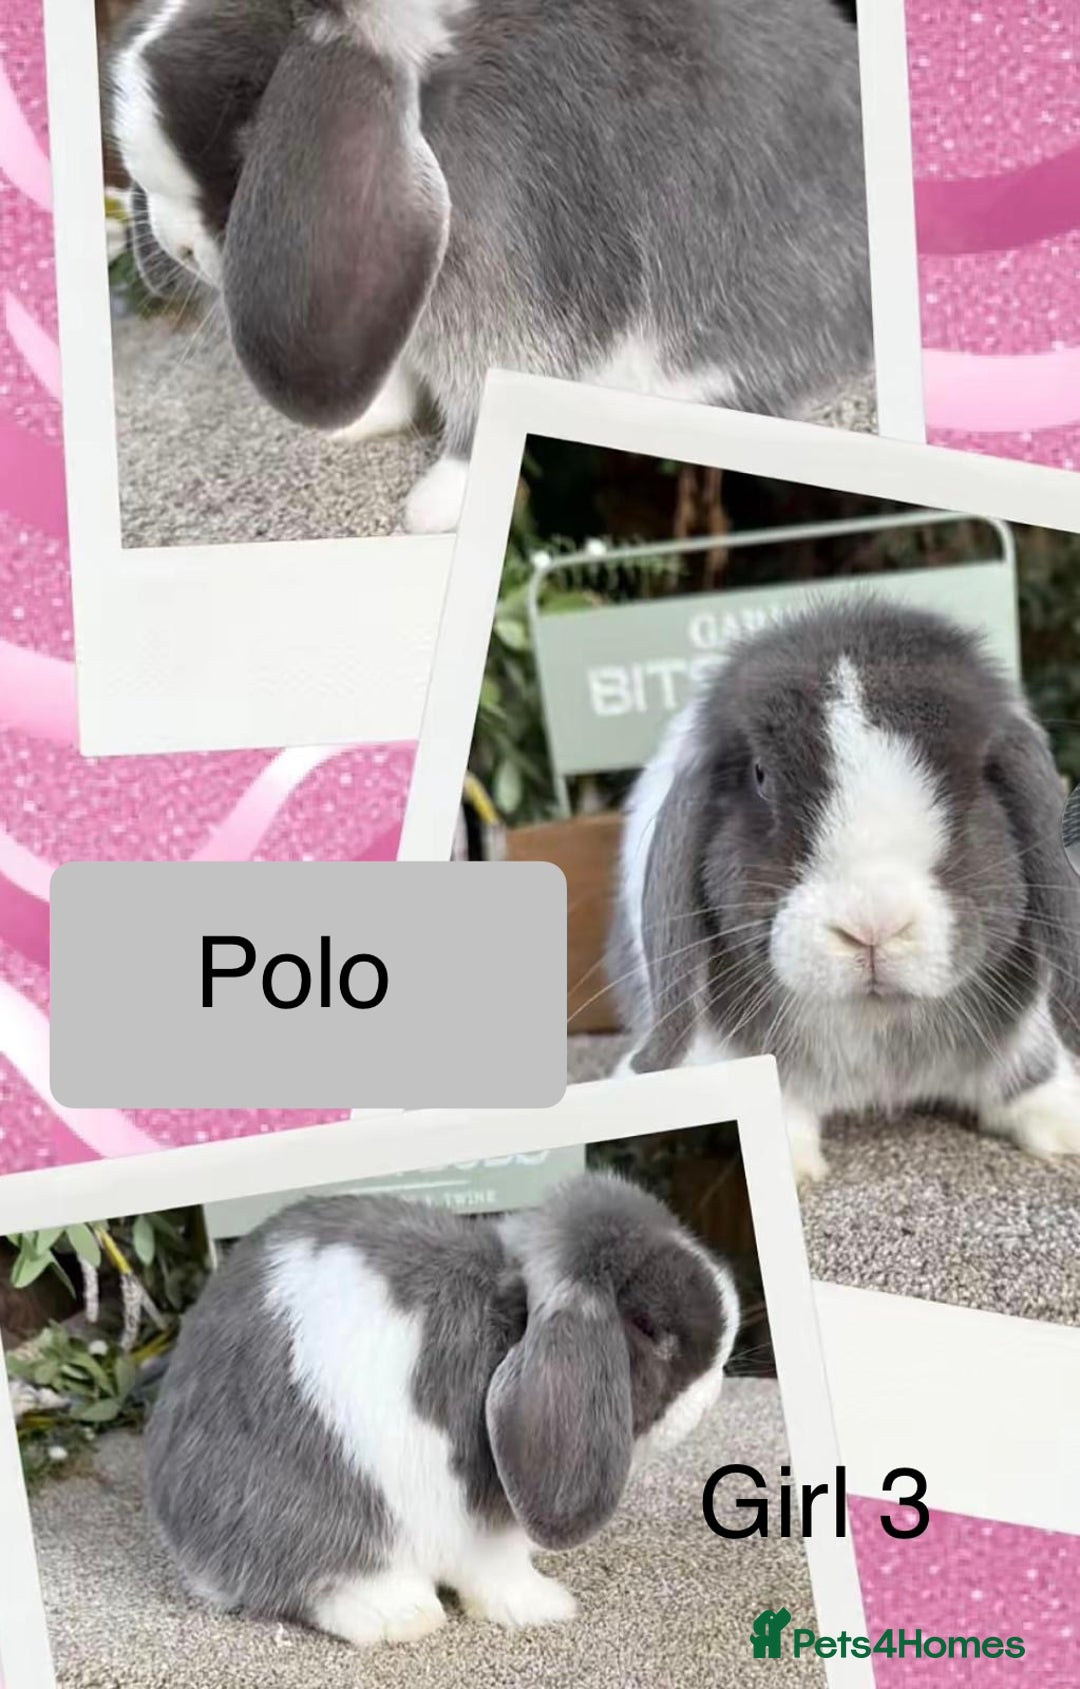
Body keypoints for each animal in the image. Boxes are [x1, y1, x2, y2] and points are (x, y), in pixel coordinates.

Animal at [109, 0, 872, 534]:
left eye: (248, 124)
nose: (174, 245)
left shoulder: (511, 298)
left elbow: (486, 402)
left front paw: (437, 505)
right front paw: (360, 424)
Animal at [144, 1173, 739, 1646]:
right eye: (648, 1328)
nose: (714, 1389)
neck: (511, 1322)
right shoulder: (478, 1520)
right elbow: (501, 1572)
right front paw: (547, 1607)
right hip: (304, 1511)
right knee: (319, 1582)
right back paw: (403, 1617)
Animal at [610, 598, 1080, 1185]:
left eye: (974, 778)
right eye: (761, 775)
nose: (873, 925)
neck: (875, 1026)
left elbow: (1029, 1077)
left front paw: (1066, 1132)